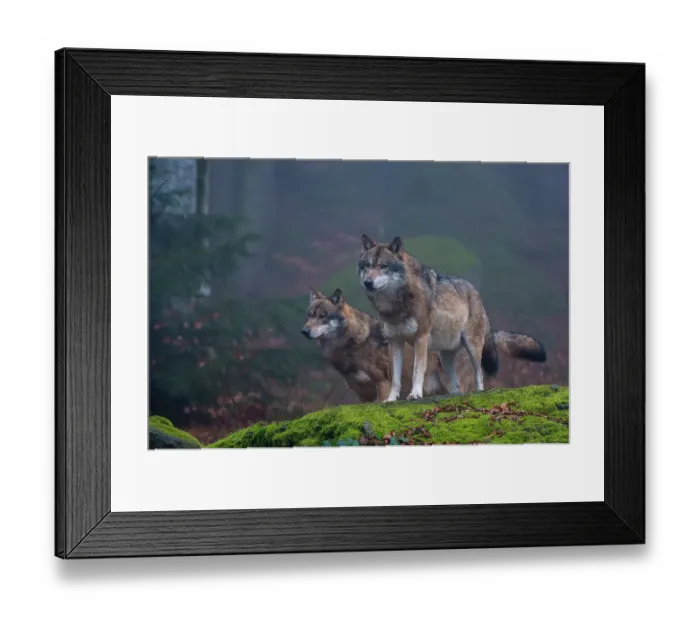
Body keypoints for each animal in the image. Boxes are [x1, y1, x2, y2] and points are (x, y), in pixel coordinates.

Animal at [358, 234, 546, 401]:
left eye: (384, 266)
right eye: (367, 265)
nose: (367, 282)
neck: (395, 305)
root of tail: (475, 292)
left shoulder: (421, 339)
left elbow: (418, 370)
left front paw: (415, 394)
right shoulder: (395, 341)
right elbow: (395, 379)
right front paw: (391, 399)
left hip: (472, 347)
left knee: (479, 376)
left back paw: (478, 392)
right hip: (445, 357)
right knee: (455, 385)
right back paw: (454, 395)